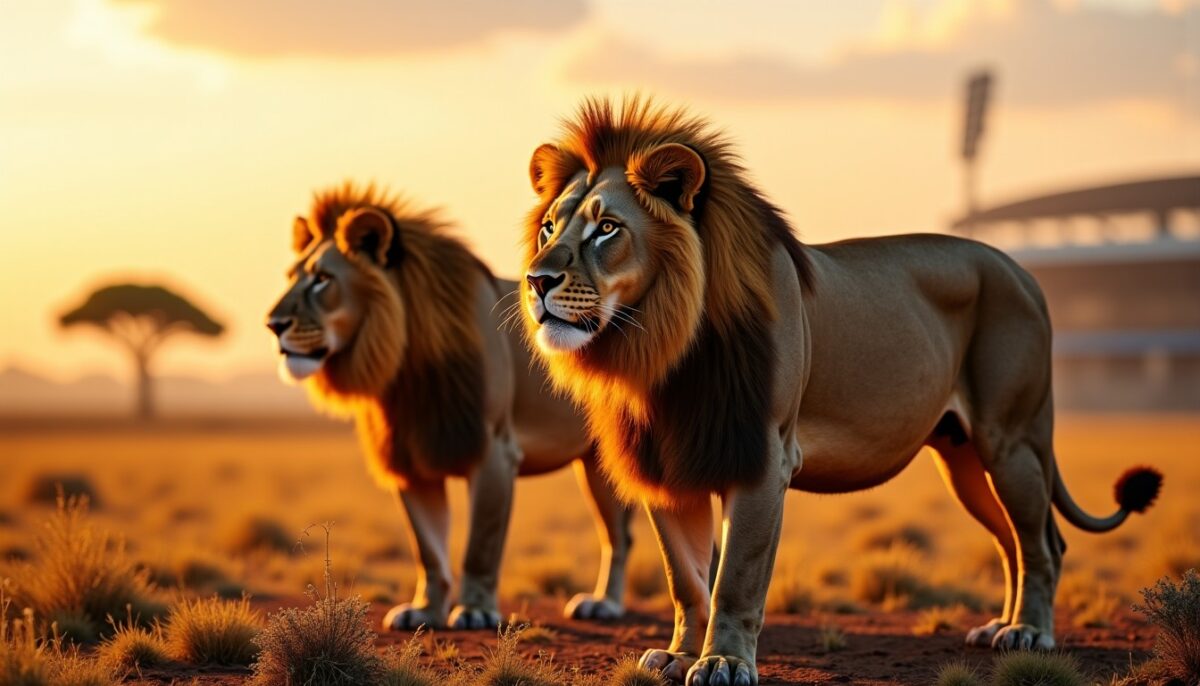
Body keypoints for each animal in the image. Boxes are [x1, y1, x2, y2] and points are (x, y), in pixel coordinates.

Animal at [266, 182, 634, 630]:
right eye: (291, 279)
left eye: (322, 280)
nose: (272, 324)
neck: (402, 374)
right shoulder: (411, 463)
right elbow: (428, 548)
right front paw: (425, 611)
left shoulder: (494, 451)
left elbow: (480, 545)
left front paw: (475, 611)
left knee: (620, 536)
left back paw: (607, 605)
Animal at [518, 98, 1162, 685]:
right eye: (549, 227)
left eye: (607, 228)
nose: (536, 281)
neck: (660, 346)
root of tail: (1023, 272)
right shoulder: (668, 463)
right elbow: (687, 577)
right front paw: (679, 656)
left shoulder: (763, 457)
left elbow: (735, 578)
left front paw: (723, 662)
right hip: (964, 460)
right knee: (1013, 542)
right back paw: (999, 628)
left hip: (1012, 441)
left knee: (1040, 544)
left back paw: (1028, 633)